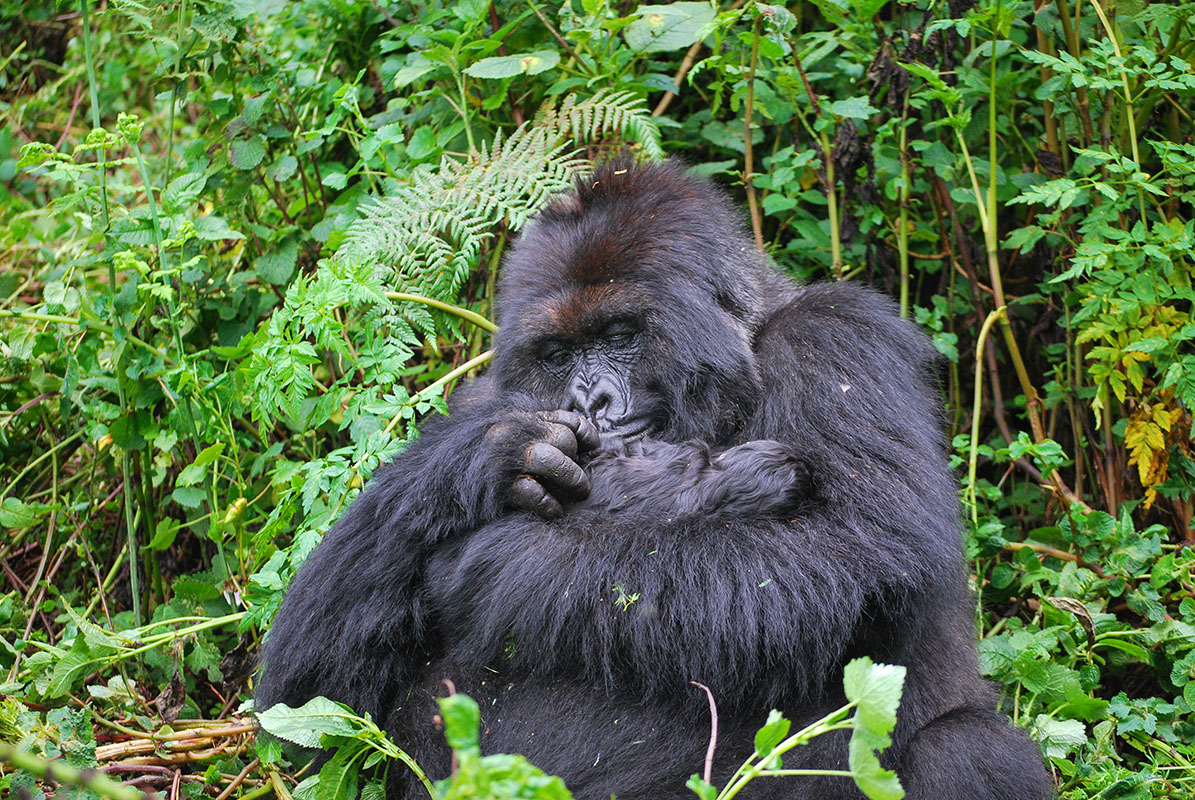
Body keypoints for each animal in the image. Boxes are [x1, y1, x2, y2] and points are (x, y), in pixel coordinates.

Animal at [256, 157, 1051, 798]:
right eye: (557, 353)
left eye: (618, 336)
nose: (590, 403)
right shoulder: (486, 394)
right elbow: (309, 705)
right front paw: (487, 455)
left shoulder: (842, 337)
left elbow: (851, 552)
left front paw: (489, 566)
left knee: (962, 747)